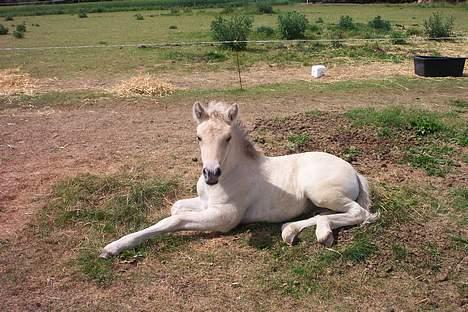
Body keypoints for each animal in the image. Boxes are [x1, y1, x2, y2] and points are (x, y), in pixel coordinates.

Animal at [100, 102, 378, 258]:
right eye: (198, 137)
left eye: (228, 138)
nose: (211, 174)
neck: (229, 176)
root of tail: (353, 170)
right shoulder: (205, 204)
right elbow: (176, 208)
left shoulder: (225, 217)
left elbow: (174, 220)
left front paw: (114, 247)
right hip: (319, 200)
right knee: (324, 213)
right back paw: (292, 231)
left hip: (321, 192)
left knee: (358, 213)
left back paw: (322, 234)